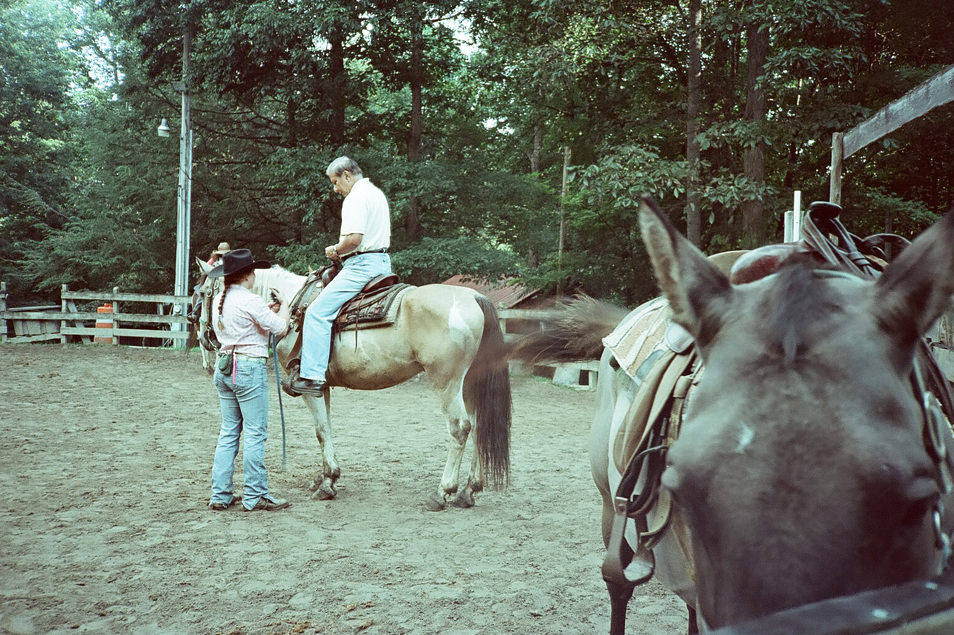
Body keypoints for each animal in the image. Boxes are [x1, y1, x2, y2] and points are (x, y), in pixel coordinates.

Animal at [193, 260, 510, 510]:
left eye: (205, 292)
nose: (206, 337)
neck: (291, 305)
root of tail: (474, 297)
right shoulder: (321, 386)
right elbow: (327, 428)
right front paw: (326, 477)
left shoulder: (308, 388)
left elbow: (321, 430)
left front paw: (327, 484)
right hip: (469, 382)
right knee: (478, 425)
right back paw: (468, 491)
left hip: (446, 382)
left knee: (460, 428)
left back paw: (443, 492)